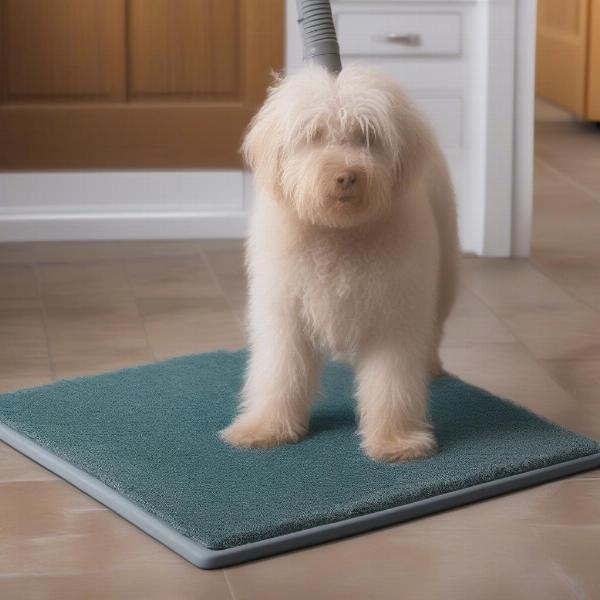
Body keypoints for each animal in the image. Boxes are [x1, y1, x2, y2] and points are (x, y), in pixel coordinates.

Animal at [220, 64, 460, 460]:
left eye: (367, 136)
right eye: (314, 135)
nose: (346, 176)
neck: (338, 234)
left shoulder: (395, 315)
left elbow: (391, 382)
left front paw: (395, 440)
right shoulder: (284, 312)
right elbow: (279, 372)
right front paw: (266, 428)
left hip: (443, 280)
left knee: (433, 330)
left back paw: (431, 365)